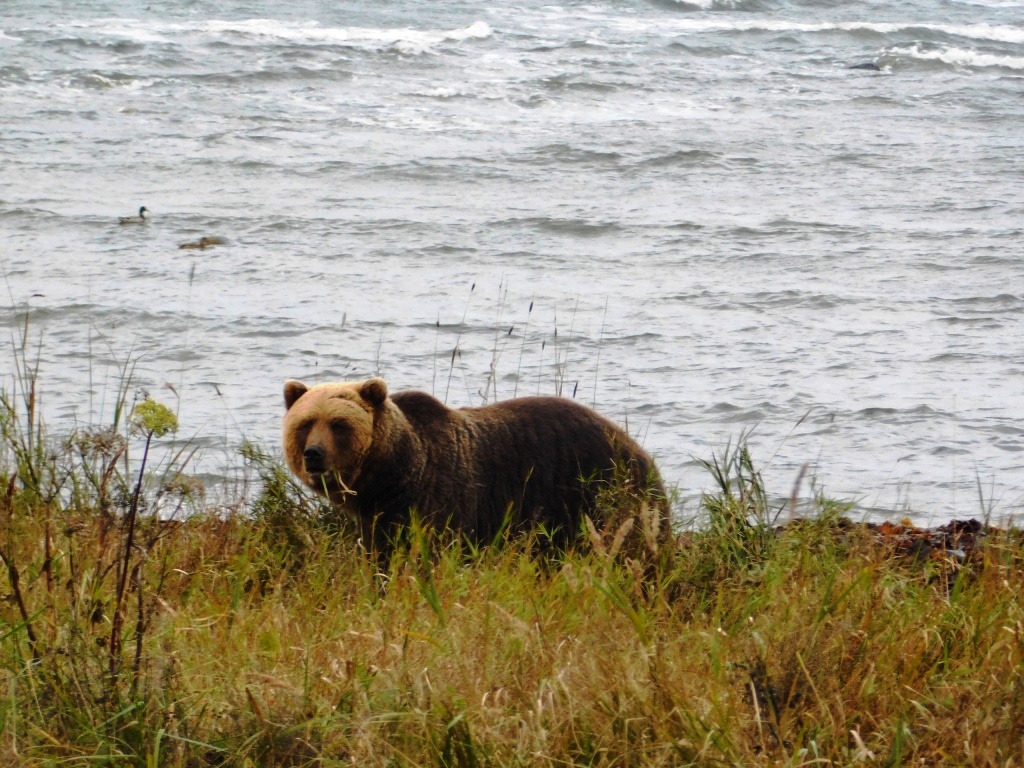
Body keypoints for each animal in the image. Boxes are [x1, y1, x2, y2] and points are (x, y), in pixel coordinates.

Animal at [282, 380, 671, 557]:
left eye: (339, 425)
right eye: (306, 423)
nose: (314, 454)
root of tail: (637, 447)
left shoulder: (441, 499)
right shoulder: (377, 520)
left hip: (599, 492)